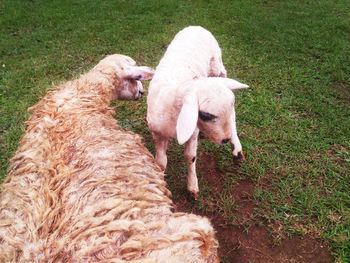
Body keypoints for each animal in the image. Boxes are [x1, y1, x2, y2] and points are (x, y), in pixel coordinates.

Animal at [148, 26, 249, 200]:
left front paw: (192, 187)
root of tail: (196, 27)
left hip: (217, 68)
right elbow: (160, 162)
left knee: (233, 115)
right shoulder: (158, 133)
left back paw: (237, 150)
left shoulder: (192, 133)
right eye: (206, 115)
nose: (225, 139)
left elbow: (190, 157)